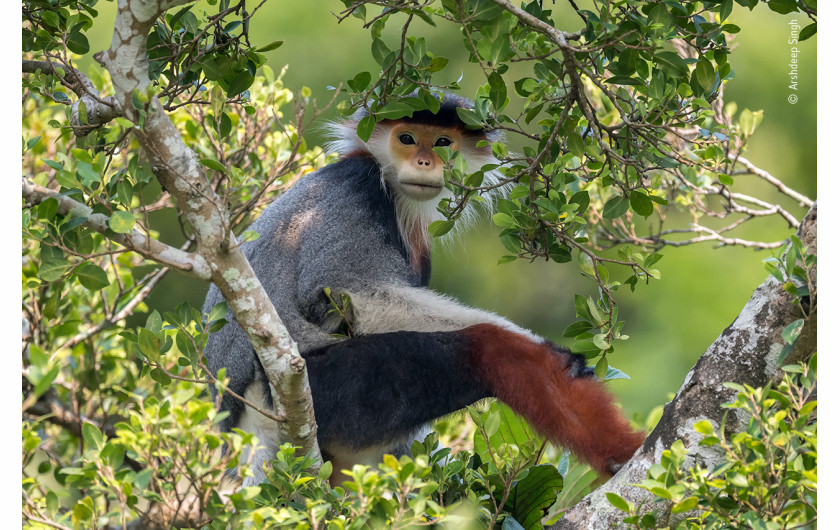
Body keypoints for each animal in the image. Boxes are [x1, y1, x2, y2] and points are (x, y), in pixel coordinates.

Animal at [202, 91, 644, 482]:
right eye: (407, 138)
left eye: (443, 142)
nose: (425, 160)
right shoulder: (355, 187)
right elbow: (346, 288)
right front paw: (545, 347)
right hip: (322, 389)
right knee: (491, 349)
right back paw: (622, 451)